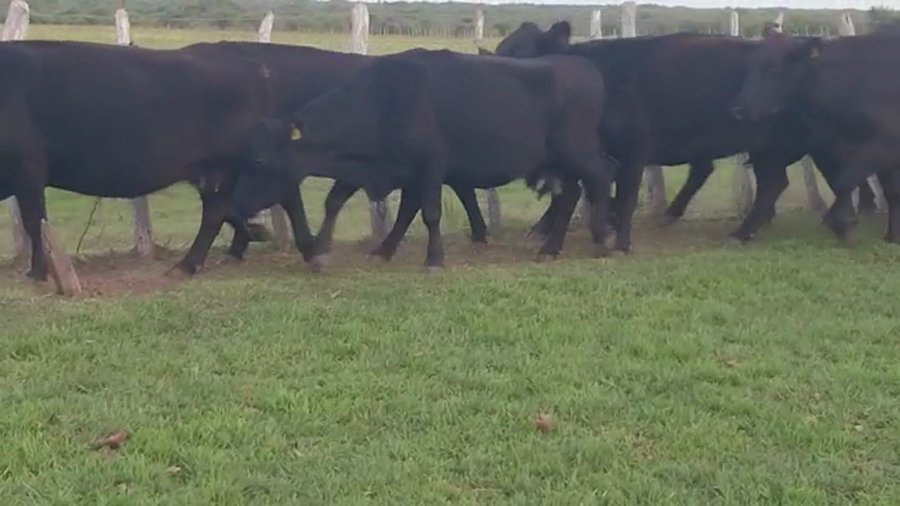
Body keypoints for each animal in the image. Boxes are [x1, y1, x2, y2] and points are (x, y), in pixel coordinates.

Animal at [0, 39, 279, 281]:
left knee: (215, 213)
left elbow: (35, 222)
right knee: (228, 208)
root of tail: (251, 65)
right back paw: (244, 240)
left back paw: (188, 264)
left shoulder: (28, 169)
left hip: (223, 166)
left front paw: (37, 272)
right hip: (209, 172)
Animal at [231, 48, 616, 270]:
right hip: (562, 162)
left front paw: (434, 258)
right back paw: (555, 246)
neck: (383, 100)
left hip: (578, 152)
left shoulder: (430, 166)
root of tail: (583, 65)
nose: (237, 203)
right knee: (571, 193)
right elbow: (339, 202)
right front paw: (337, 249)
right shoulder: (379, 168)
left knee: (599, 178)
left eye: (259, 162)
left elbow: (428, 212)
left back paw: (603, 239)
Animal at [491, 22, 874, 252]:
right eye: (500, 49)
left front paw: (620, 240)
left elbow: (624, 195)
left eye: (521, 53)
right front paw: (552, 227)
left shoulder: (633, 150)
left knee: (782, 182)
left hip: (785, 145)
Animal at [727, 27, 900, 242]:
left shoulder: (884, 145)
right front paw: (891, 235)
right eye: (750, 66)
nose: (737, 107)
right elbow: (887, 190)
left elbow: (845, 181)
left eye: (773, 69)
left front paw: (838, 222)